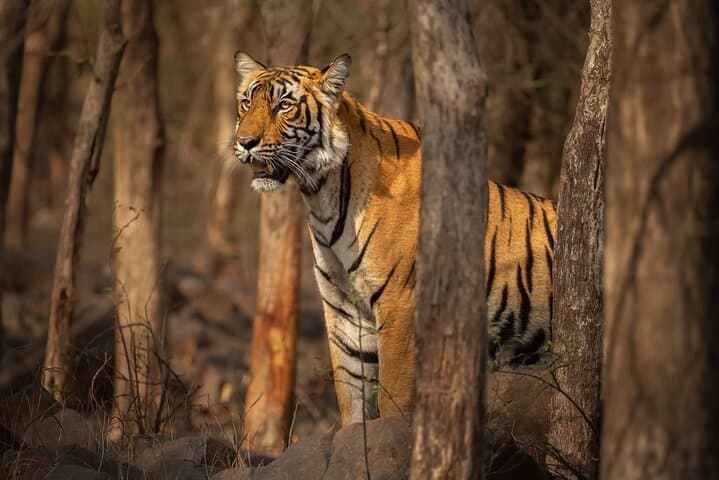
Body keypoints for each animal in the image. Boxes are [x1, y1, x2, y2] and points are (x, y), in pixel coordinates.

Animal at [232, 52, 557, 425]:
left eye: (284, 105)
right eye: (246, 103)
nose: (244, 142)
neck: (321, 198)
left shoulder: (399, 303)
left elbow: (393, 399)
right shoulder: (345, 313)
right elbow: (352, 402)